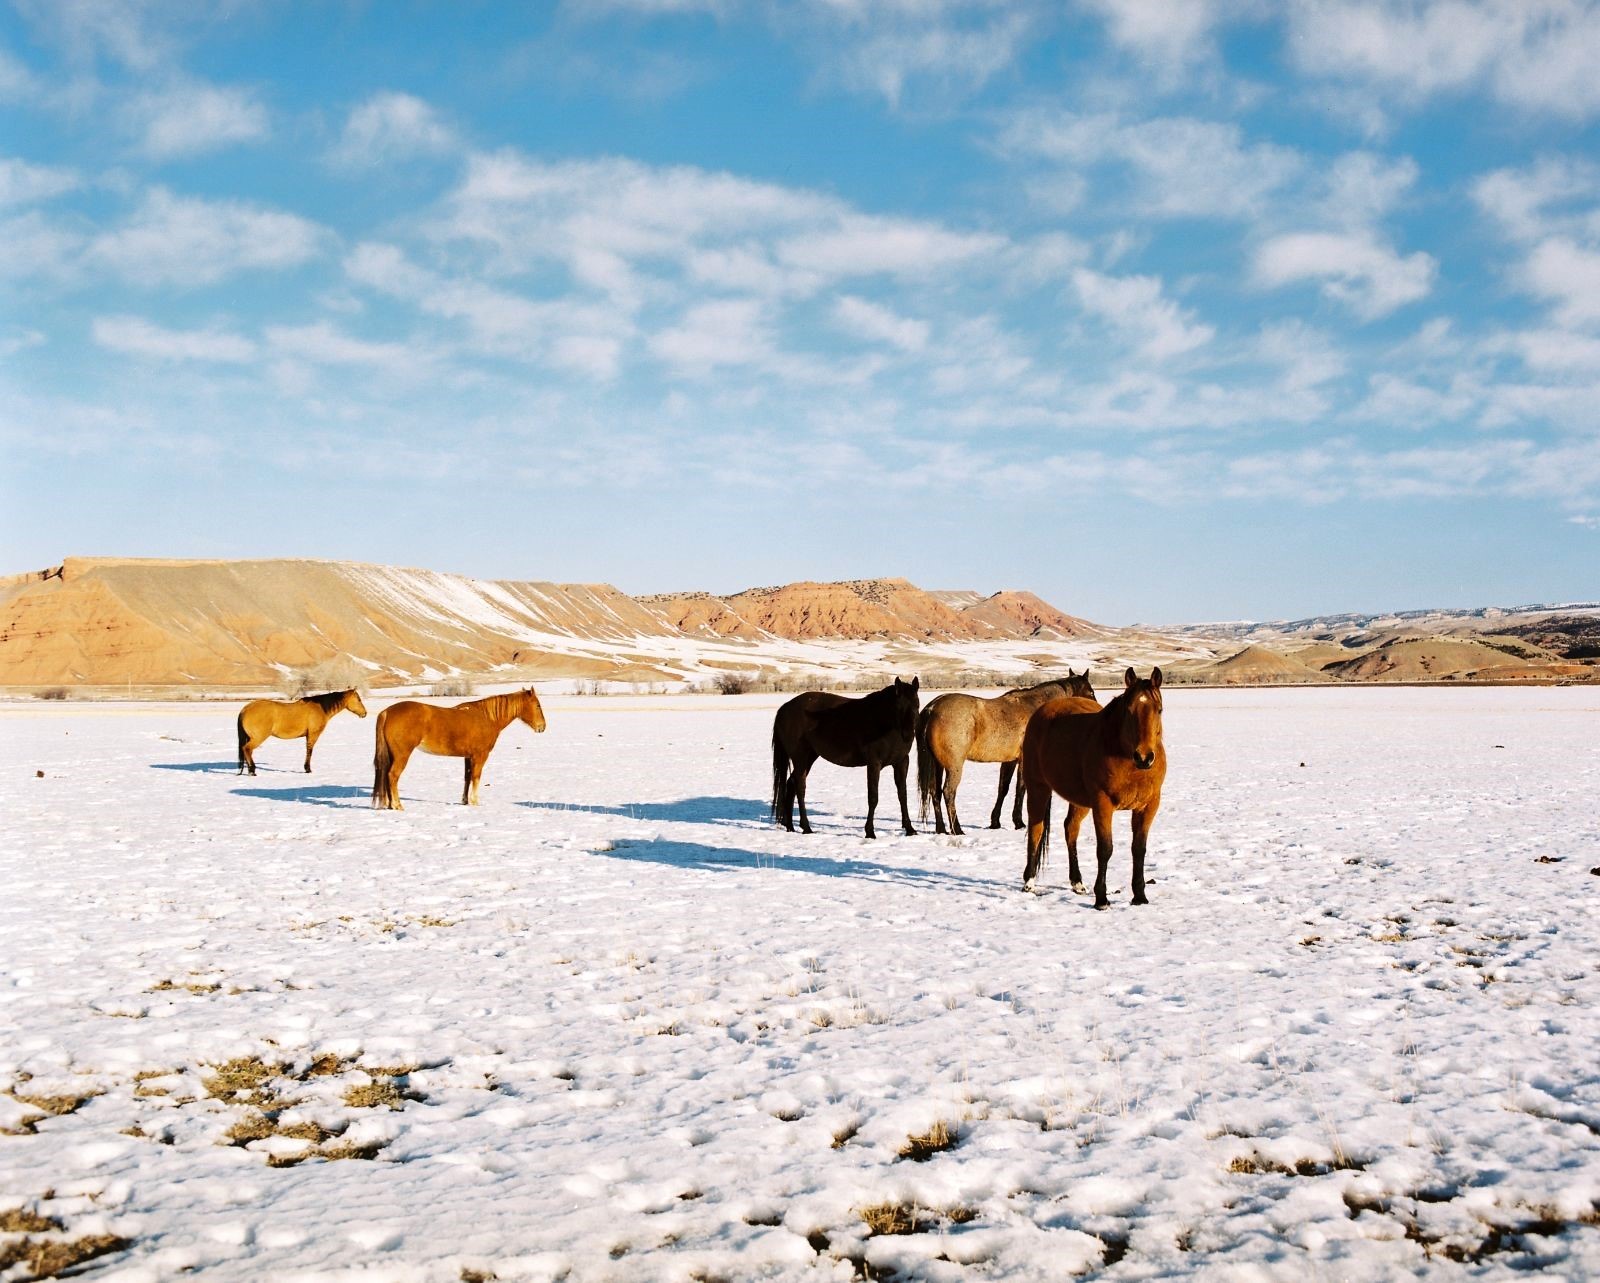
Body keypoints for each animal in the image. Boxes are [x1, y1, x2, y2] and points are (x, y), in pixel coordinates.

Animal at [237, 689, 368, 776]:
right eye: (358, 699)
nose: (365, 713)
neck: (320, 708)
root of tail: (245, 709)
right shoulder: (313, 734)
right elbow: (310, 750)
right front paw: (307, 769)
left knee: (247, 751)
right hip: (258, 738)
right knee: (247, 749)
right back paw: (252, 771)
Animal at [372, 687, 546, 810]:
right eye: (538, 705)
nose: (542, 727)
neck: (487, 718)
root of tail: (387, 712)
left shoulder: (468, 757)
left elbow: (467, 777)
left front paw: (465, 801)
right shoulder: (480, 756)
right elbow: (476, 777)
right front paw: (475, 801)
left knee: (386, 775)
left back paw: (390, 805)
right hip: (402, 755)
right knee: (393, 776)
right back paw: (397, 805)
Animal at [771, 677, 920, 839]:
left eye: (917, 704)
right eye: (898, 706)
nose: (908, 735)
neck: (883, 722)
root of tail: (785, 708)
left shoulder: (901, 762)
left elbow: (903, 795)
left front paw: (909, 829)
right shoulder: (874, 763)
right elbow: (873, 797)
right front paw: (870, 832)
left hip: (809, 757)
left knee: (791, 783)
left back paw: (790, 826)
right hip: (800, 758)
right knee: (800, 787)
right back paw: (806, 827)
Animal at [916, 671, 1096, 836]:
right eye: (1091, 692)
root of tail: (932, 708)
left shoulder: (1010, 760)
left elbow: (1003, 789)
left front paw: (995, 822)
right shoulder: (1024, 760)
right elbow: (1021, 789)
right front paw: (1019, 822)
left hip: (937, 764)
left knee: (935, 792)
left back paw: (941, 829)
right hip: (953, 766)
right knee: (948, 792)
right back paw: (957, 829)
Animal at [1019, 668, 1166, 908]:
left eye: (1159, 710)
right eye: (1129, 710)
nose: (1144, 757)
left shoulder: (1148, 806)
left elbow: (1139, 849)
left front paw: (1139, 896)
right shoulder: (1102, 804)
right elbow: (1105, 849)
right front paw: (1102, 899)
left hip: (1079, 800)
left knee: (1070, 828)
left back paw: (1077, 882)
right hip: (1038, 788)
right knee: (1036, 830)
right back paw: (1029, 882)